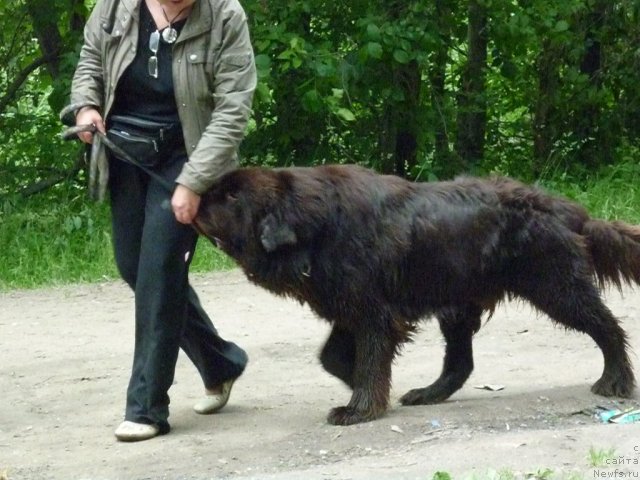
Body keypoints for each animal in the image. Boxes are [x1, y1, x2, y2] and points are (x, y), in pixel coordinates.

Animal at [195, 164, 640, 424]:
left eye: (231, 196)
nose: (193, 199)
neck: (317, 227)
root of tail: (567, 208)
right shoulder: (350, 306)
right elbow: (335, 357)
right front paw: (368, 390)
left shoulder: (372, 312)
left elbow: (369, 359)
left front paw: (359, 409)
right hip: (458, 303)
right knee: (460, 363)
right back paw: (429, 393)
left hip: (555, 286)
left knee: (607, 326)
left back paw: (615, 380)